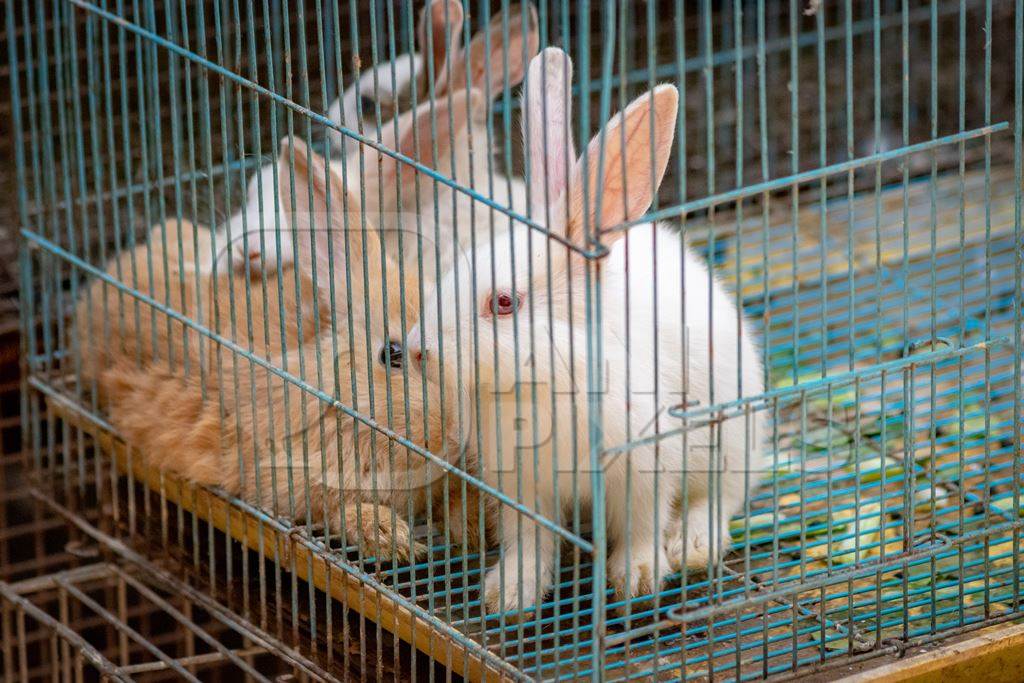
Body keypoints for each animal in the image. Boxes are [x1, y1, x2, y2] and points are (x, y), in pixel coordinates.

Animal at [403, 48, 765, 614]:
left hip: (729, 435)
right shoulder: (521, 483)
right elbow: (527, 539)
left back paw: (691, 545)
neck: (548, 376)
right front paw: (511, 593)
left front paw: (636, 578)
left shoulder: (644, 464)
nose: (418, 351)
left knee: (720, 498)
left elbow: (642, 525)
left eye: (503, 303)